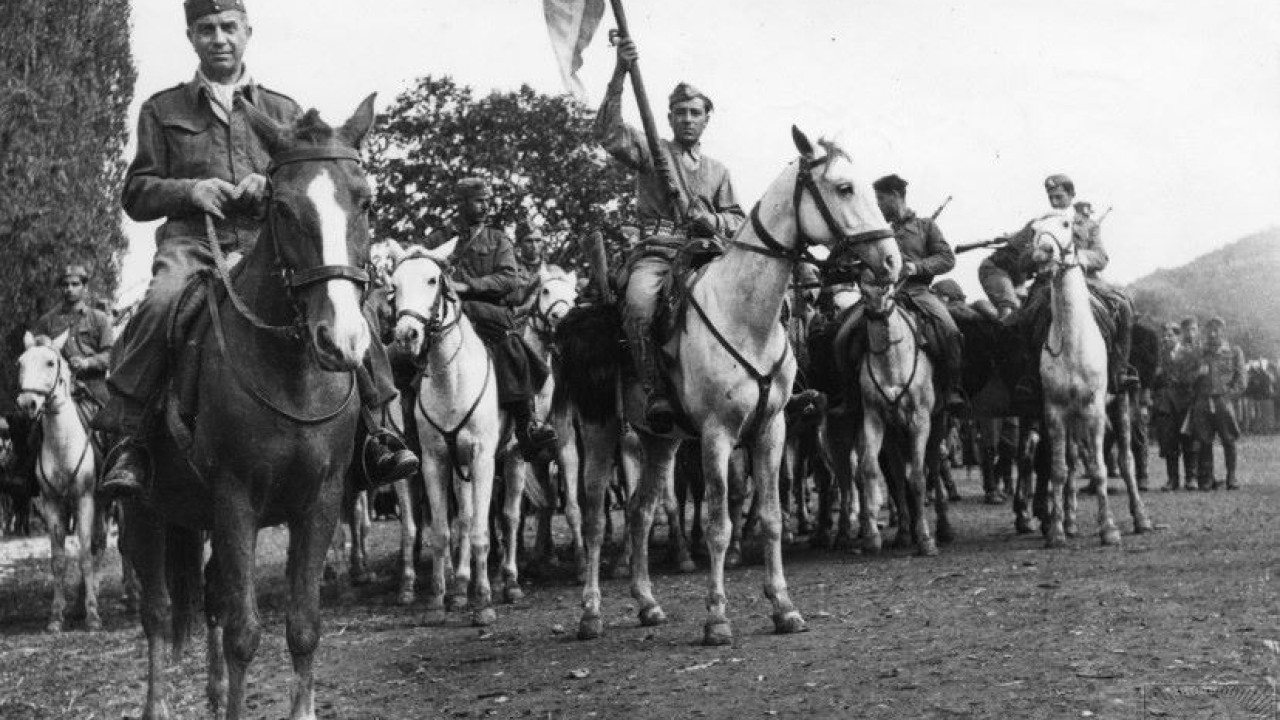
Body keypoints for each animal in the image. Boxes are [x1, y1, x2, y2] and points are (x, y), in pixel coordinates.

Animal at [15, 330, 103, 627]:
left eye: (51, 362)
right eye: (20, 363)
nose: (27, 404)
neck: (63, 443)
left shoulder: (86, 500)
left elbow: (85, 556)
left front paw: (93, 616)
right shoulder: (51, 503)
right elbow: (58, 560)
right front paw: (57, 615)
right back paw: (77, 605)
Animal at [121, 96, 376, 717]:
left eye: (364, 201)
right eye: (282, 208)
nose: (341, 341)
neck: (291, 376)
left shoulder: (321, 500)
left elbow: (303, 626)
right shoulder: (235, 500)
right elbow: (244, 633)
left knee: (209, 599)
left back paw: (213, 696)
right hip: (142, 514)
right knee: (158, 614)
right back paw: (159, 704)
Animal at [389, 237, 504, 622]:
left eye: (431, 280)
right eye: (394, 286)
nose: (406, 335)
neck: (451, 379)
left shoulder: (483, 460)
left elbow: (480, 531)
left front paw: (484, 603)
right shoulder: (434, 461)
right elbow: (440, 532)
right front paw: (438, 600)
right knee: (453, 523)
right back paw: (452, 589)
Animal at [565, 126, 906, 640]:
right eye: (844, 188)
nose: (890, 261)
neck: (744, 313)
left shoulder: (772, 430)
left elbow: (770, 517)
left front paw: (784, 607)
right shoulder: (717, 435)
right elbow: (719, 525)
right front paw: (717, 617)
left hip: (659, 439)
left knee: (642, 510)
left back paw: (647, 603)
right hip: (599, 428)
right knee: (594, 520)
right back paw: (590, 612)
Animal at [1024, 208, 1157, 543]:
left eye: (1066, 224)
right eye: (1034, 229)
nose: (1043, 252)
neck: (1073, 339)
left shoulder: (1095, 410)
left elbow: (1099, 468)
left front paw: (1108, 528)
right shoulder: (1054, 411)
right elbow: (1060, 469)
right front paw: (1057, 530)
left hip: (1119, 402)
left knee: (1126, 461)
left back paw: (1141, 518)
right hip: (1072, 418)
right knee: (1072, 463)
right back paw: (1070, 521)